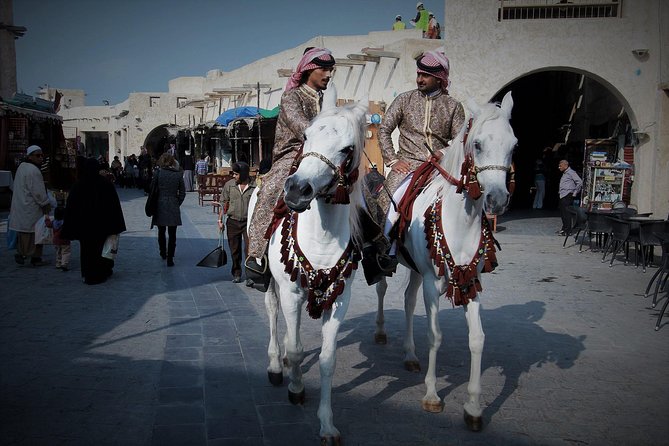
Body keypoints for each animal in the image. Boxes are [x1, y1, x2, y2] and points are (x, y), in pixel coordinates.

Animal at [248, 92, 368, 444]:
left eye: (348, 149)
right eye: (306, 136)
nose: (296, 190)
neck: (322, 238)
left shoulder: (339, 300)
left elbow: (327, 360)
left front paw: (326, 424)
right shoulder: (291, 292)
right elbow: (297, 348)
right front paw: (297, 389)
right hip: (272, 283)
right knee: (273, 314)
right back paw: (277, 366)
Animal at [374, 91, 516, 432]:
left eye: (514, 145)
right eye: (477, 144)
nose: (497, 200)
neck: (459, 221)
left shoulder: (470, 281)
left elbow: (477, 339)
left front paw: (474, 407)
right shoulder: (432, 283)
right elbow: (435, 335)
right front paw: (432, 395)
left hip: (416, 270)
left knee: (408, 301)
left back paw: (410, 355)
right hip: (390, 263)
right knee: (383, 290)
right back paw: (381, 332)